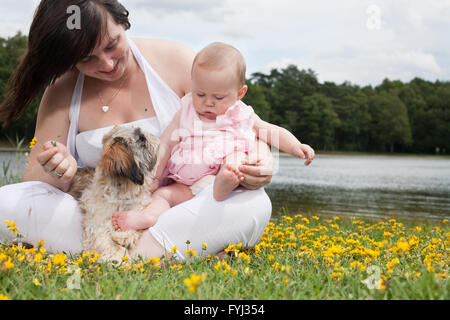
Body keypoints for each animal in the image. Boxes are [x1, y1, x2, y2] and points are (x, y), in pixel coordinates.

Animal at [69, 125, 161, 262]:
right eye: (142, 138)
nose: (156, 137)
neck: (123, 196)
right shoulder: (97, 229)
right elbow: (112, 246)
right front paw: (123, 260)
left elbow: (135, 224)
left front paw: (124, 237)